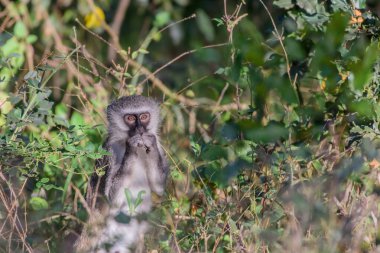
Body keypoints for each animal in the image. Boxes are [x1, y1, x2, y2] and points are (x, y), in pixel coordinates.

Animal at [75, 95, 168, 253]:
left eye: (144, 116)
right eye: (130, 118)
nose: (139, 129)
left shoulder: (159, 145)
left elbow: (159, 187)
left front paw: (149, 142)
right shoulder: (110, 152)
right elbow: (110, 198)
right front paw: (132, 146)